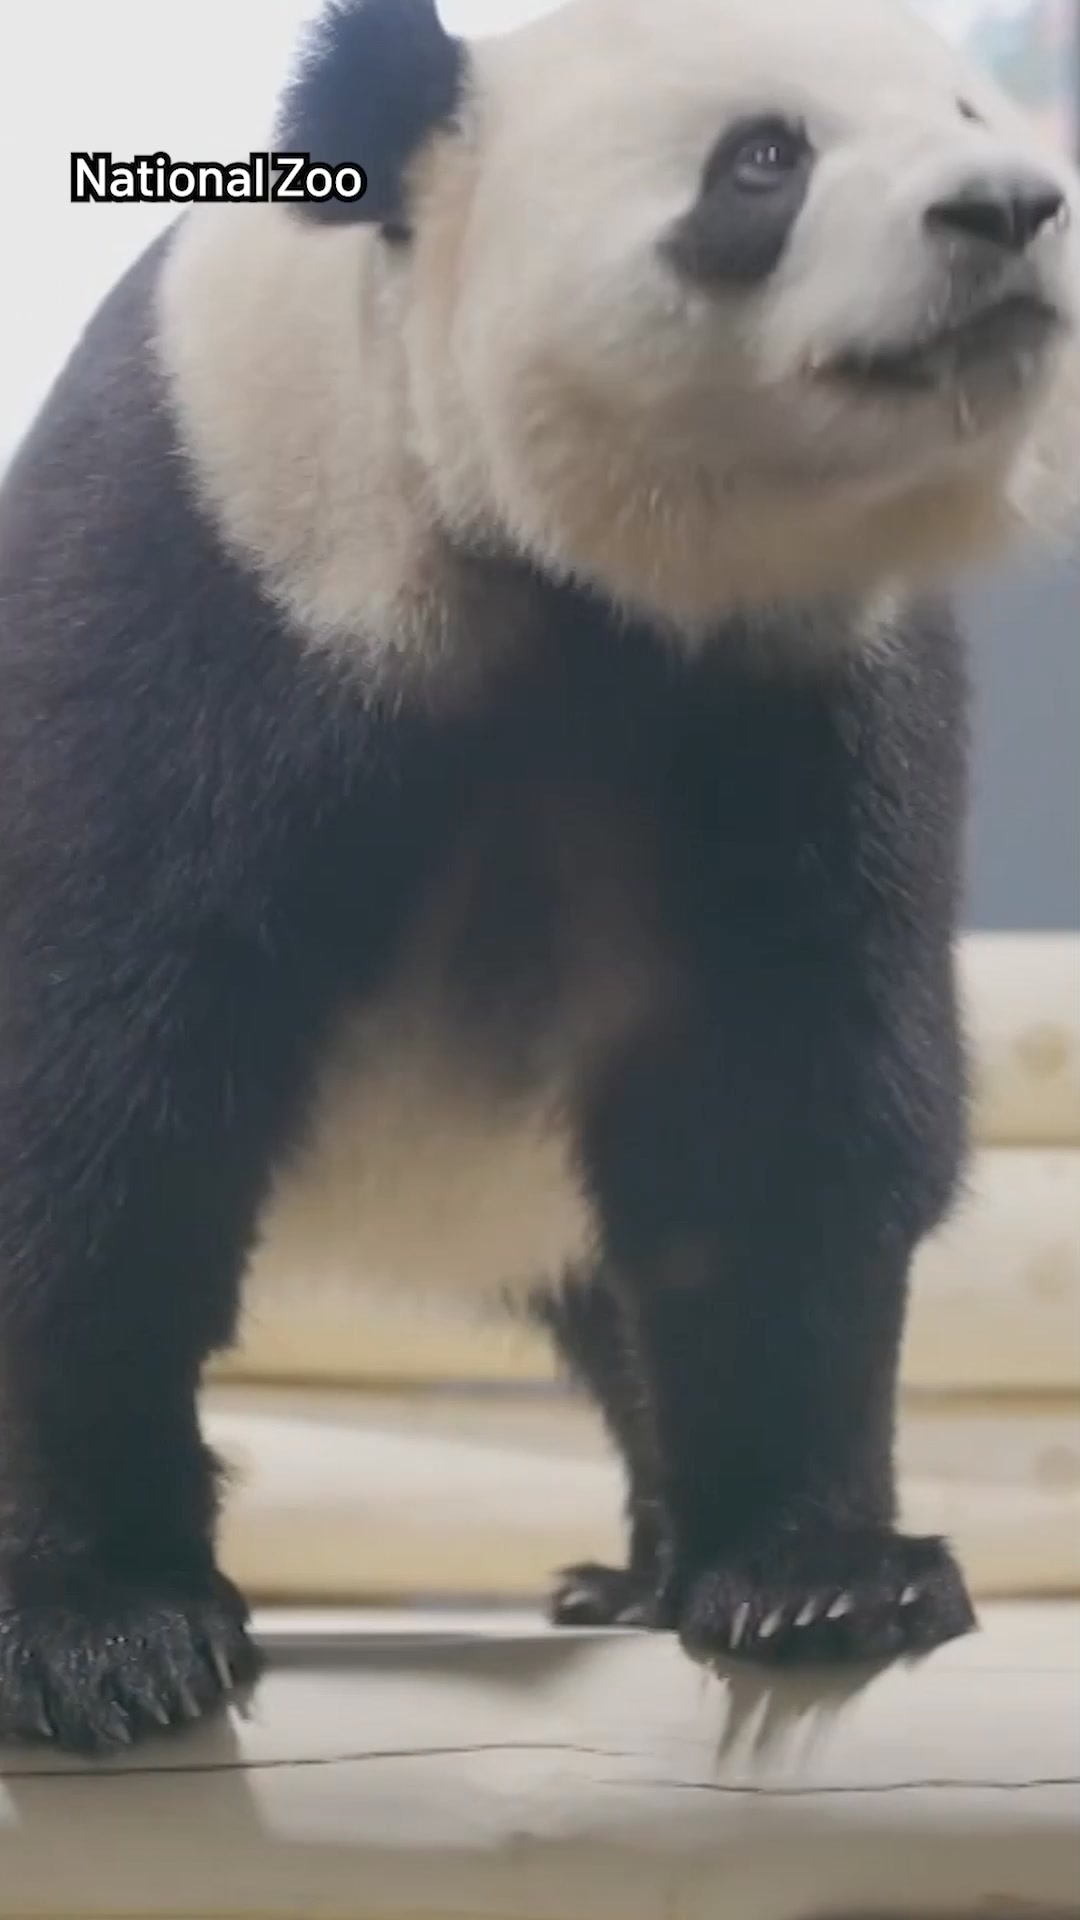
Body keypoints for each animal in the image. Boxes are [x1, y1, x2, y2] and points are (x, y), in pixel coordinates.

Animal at [0, 0, 1077, 1755]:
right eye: (763, 158)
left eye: (976, 112)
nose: (1008, 209)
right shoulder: (214, 563)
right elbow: (100, 1094)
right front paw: (108, 1625)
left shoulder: (808, 689)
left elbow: (781, 1105)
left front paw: (816, 1576)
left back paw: (641, 1568)